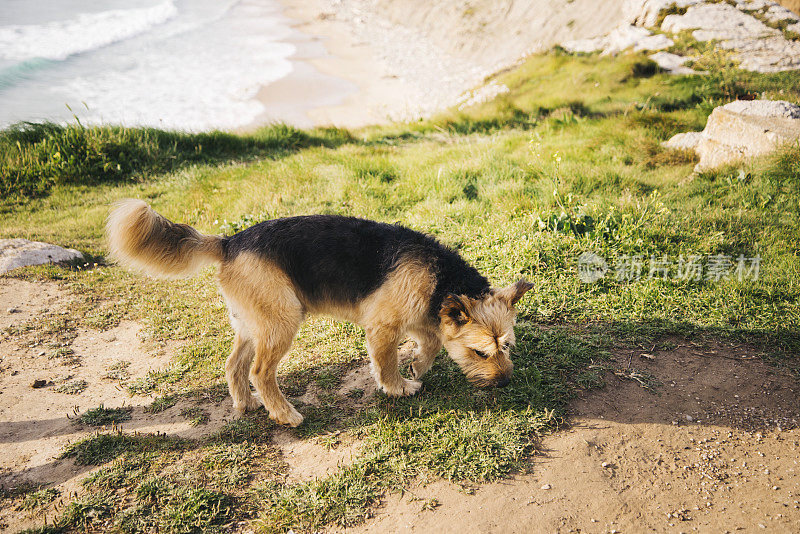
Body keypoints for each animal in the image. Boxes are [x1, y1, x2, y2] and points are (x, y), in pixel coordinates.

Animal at [106, 199, 532, 430]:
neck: (442, 279)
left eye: (507, 347)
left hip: (253, 325)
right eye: (481, 352)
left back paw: (247, 403)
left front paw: (418, 365)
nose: (506, 382)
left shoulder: (420, 317)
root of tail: (229, 241)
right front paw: (398, 385)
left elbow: (430, 342)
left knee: (234, 366)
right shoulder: (384, 327)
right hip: (282, 322)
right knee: (260, 372)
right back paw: (284, 414)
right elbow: (387, 362)